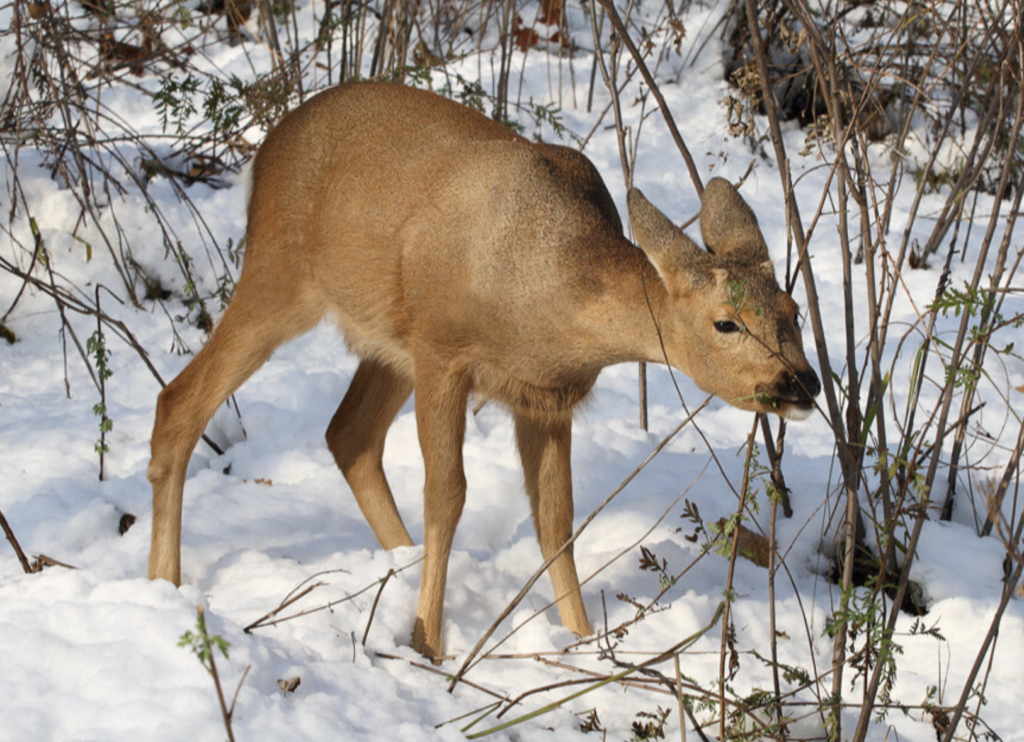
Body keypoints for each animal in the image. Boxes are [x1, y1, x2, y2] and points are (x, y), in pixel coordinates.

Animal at [148, 82, 819, 659]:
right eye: (726, 323)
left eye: (793, 309)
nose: (802, 383)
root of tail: (265, 150)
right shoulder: (444, 353)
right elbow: (447, 495)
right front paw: (429, 644)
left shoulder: (543, 396)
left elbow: (556, 520)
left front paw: (580, 642)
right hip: (281, 273)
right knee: (179, 401)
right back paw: (164, 586)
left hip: (387, 341)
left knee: (348, 434)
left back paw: (397, 564)